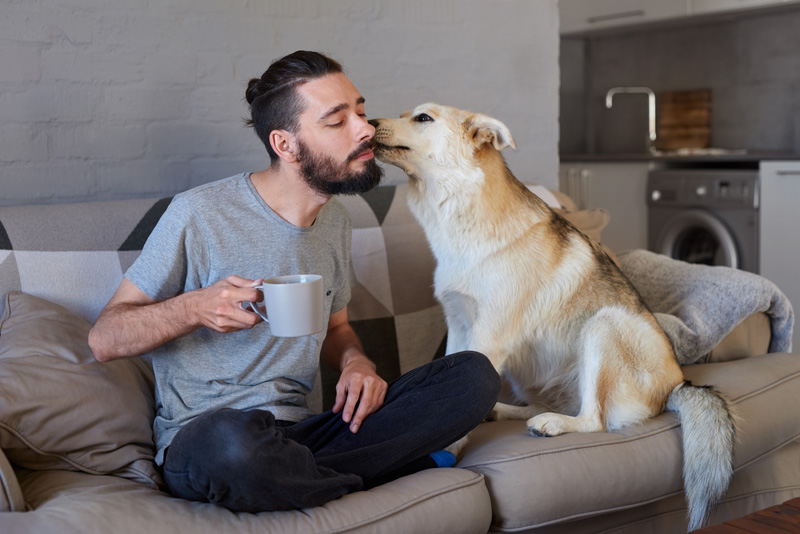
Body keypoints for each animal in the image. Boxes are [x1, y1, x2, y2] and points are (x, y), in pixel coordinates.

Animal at [368, 104, 736, 532]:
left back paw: (553, 424)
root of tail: (678, 385)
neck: (461, 212)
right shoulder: (459, 327)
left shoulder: (487, 338)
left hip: (602, 325)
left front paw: (446, 451)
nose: (369, 123)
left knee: (594, 420)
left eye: (423, 118)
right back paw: (508, 412)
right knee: (547, 405)